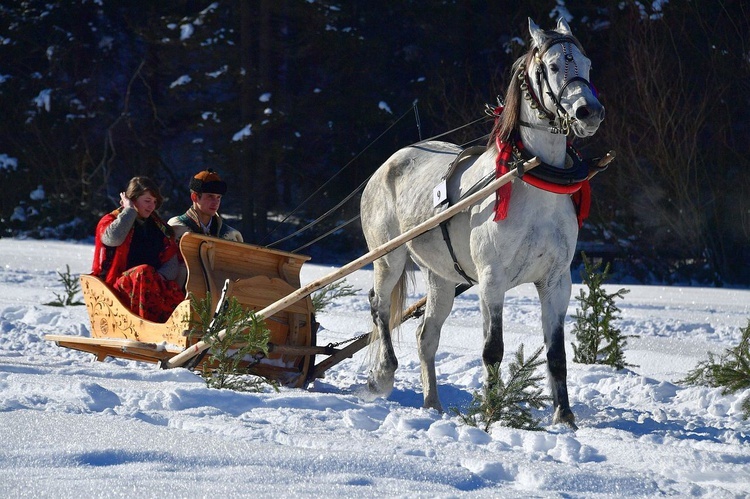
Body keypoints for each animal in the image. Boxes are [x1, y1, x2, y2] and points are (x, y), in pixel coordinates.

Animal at [362, 17, 608, 428]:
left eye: (588, 64)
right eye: (552, 66)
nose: (589, 111)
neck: (533, 181)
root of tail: (387, 165)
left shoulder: (556, 281)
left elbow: (556, 354)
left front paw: (564, 416)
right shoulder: (492, 280)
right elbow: (493, 350)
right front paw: (492, 413)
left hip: (442, 278)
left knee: (426, 336)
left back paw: (432, 403)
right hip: (388, 258)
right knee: (379, 307)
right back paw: (382, 375)